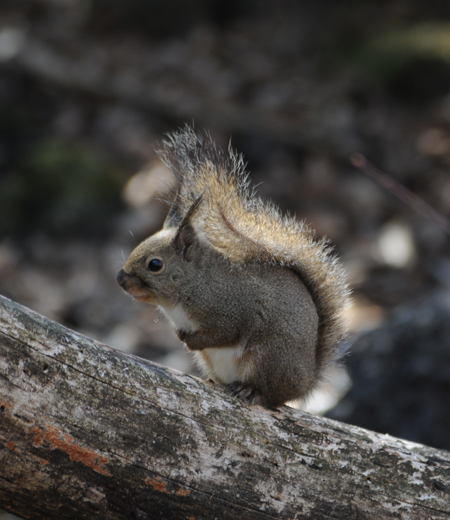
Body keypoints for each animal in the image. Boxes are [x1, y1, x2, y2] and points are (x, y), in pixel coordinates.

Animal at [117, 125, 352, 406]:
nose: (120, 279)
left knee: (271, 395)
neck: (194, 285)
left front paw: (191, 339)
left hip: (270, 358)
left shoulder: (233, 310)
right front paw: (180, 336)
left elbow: (224, 334)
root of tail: (307, 381)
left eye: (155, 265)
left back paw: (252, 391)